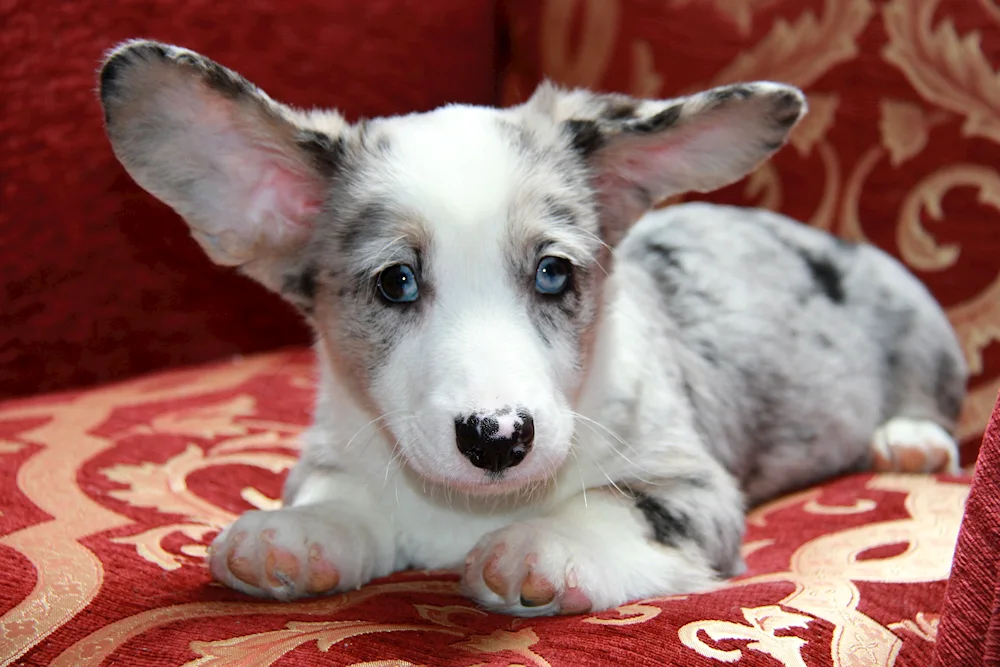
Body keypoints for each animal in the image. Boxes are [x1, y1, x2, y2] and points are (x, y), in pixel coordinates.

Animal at [97, 40, 964, 616]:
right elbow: (336, 495)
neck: (463, 509)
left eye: (553, 272)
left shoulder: (695, 488)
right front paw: (294, 534)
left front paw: (539, 546)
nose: (497, 436)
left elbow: (613, 507)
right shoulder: (339, 450)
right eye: (395, 281)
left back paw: (910, 438)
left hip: (919, 325)